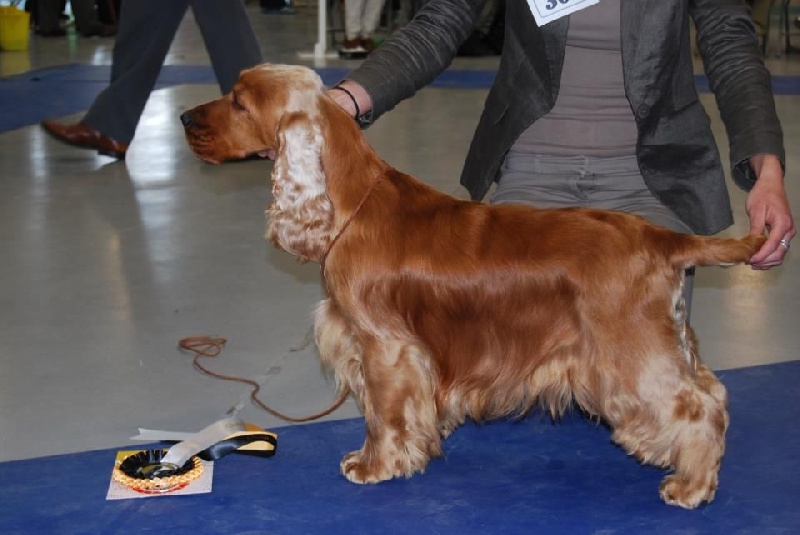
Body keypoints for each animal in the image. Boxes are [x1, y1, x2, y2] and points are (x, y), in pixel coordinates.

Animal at [181, 63, 765, 509]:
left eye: (238, 102)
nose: (184, 118)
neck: (350, 205)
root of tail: (663, 236)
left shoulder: (383, 346)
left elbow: (382, 413)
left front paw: (373, 465)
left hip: (628, 354)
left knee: (697, 407)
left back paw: (691, 487)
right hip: (666, 340)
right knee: (713, 392)